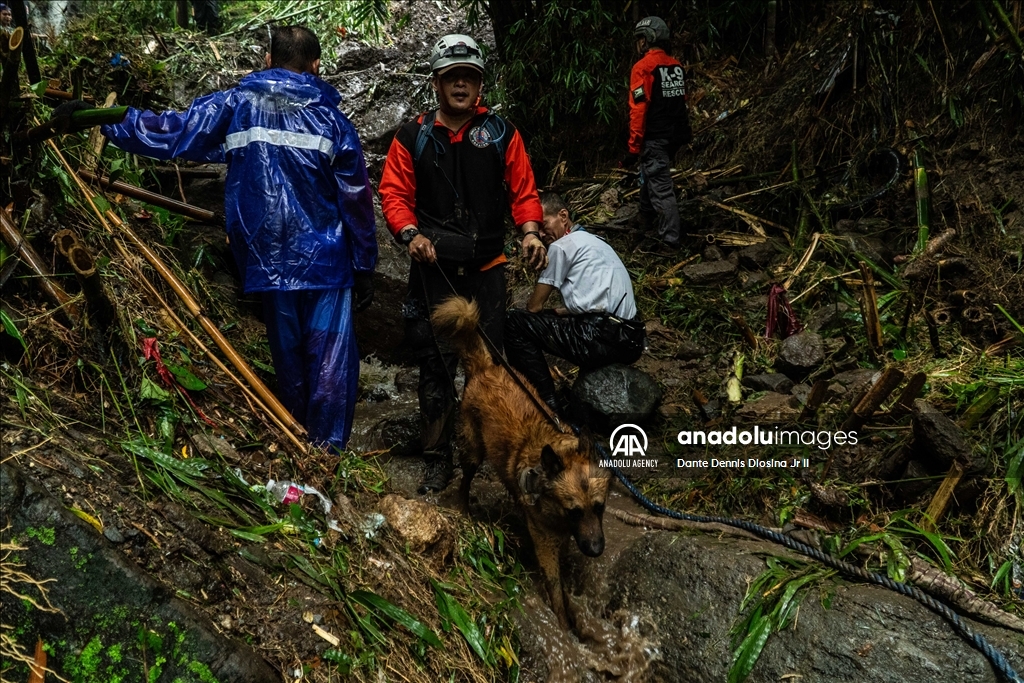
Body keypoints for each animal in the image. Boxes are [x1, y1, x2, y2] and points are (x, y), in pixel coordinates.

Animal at [430, 296, 610, 626]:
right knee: (466, 478)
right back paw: (463, 507)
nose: (595, 550)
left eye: (599, 507)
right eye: (574, 511)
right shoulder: (545, 542)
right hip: (473, 450)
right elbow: (555, 589)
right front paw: (564, 624)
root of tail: (486, 366)